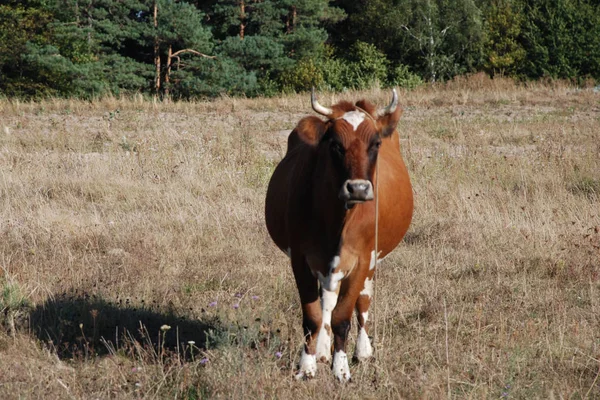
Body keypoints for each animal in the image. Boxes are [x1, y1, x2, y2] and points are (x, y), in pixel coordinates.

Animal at [266, 90, 412, 382]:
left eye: (375, 143)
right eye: (335, 145)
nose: (358, 188)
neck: (336, 222)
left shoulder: (362, 259)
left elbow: (343, 317)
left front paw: (341, 368)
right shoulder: (301, 259)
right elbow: (312, 316)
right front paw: (307, 365)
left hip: (371, 261)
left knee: (363, 301)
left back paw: (362, 351)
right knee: (327, 300)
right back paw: (323, 349)